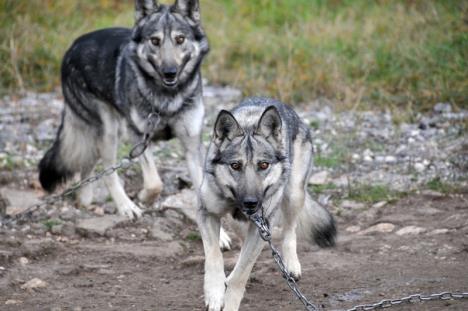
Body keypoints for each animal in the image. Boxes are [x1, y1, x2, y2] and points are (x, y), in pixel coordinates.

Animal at [197, 97, 336, 311]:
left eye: (263, 165)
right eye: (235, 165)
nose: (251, 202)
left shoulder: (261, 228)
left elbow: (241, 274)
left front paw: (229, 302)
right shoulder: (207, 213)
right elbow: (214, 257)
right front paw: (215, 294)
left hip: (293, 194)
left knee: (290, 231)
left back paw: (291, 265)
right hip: (241, 221)